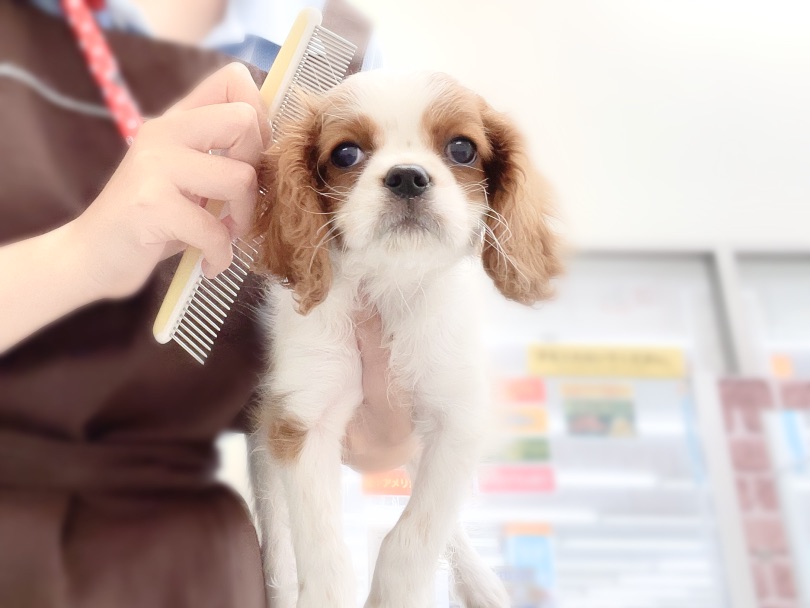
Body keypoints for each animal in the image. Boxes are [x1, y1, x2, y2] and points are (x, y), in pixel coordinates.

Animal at [249, 71, 560, 608]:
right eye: (346, 153)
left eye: (461, 148)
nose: (408, 176)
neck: (389, 286)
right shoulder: (301, 420)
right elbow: (324, 550)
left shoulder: (457, 423)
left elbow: (415, 536)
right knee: (277, 527)